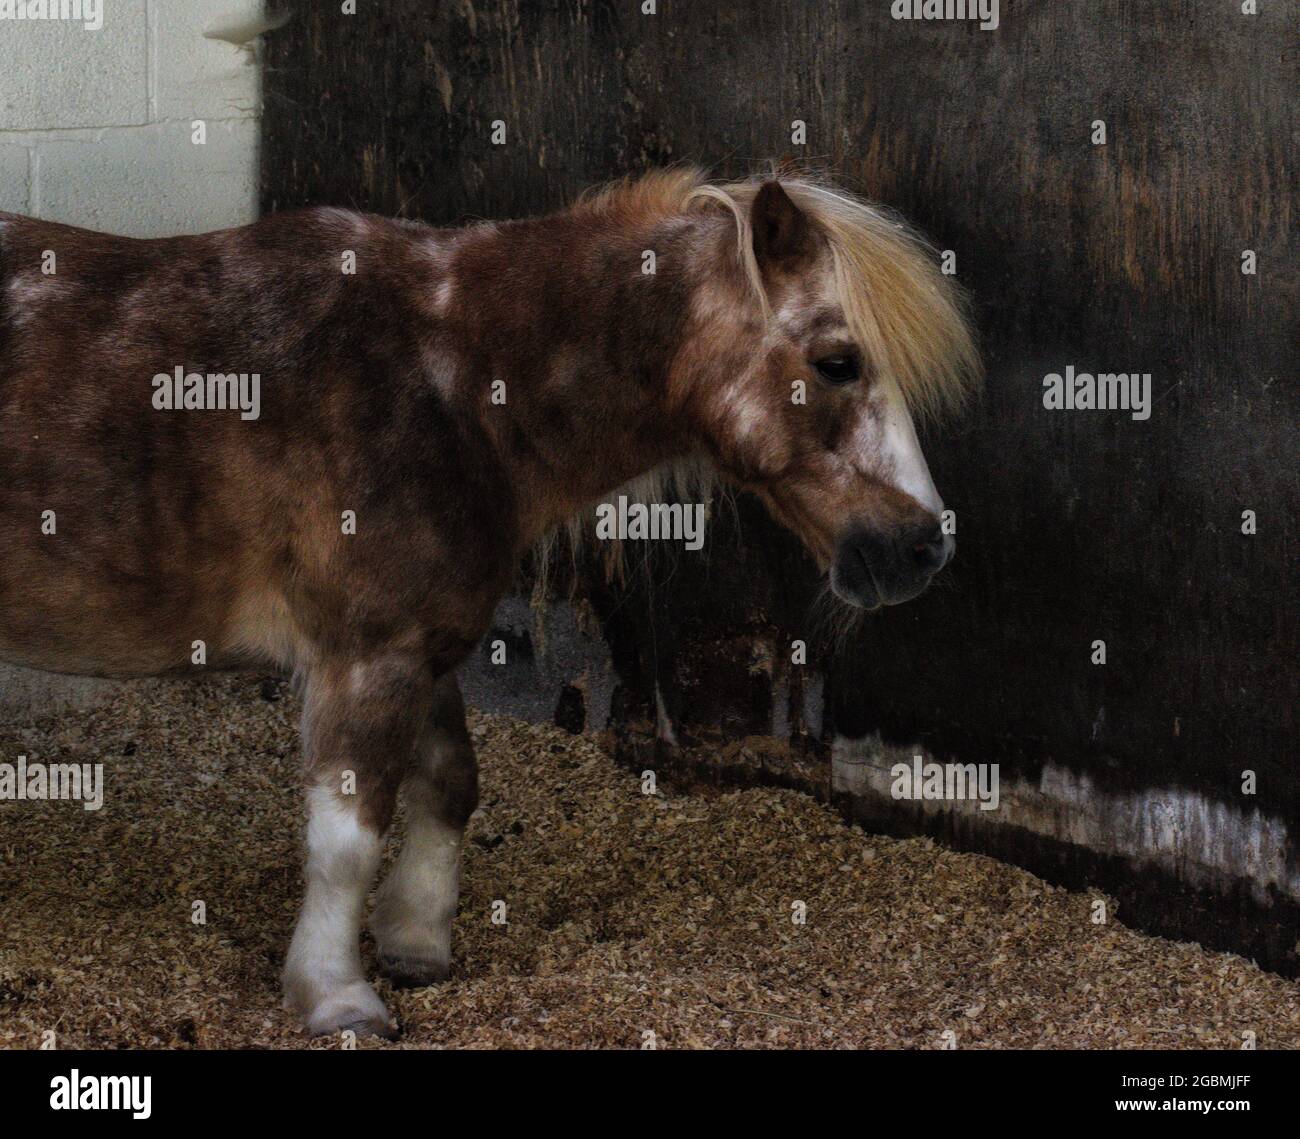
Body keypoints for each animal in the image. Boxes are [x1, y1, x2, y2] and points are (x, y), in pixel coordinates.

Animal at [0, 168, 980, 1036]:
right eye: (839, 362)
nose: (922, 547)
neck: (456, 382)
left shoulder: (423, 648)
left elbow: (450, 785)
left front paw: (415, 940)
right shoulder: (370, 656)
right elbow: (347, 838)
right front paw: (338, 996)